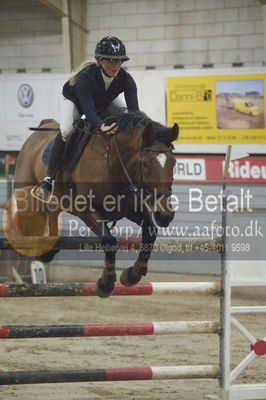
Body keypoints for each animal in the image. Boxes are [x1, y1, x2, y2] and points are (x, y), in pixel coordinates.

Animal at [11, 111, 178, 296]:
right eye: (146, 163)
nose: (165, 216)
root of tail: (42, 126)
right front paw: (106, 284)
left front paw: (131, 275)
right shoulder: (85, 209)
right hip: (26, 195)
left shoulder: (132, 209)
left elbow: (150, 234)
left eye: (174, 162)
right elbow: (109, 241)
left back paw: (49, 251)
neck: (114, 165)